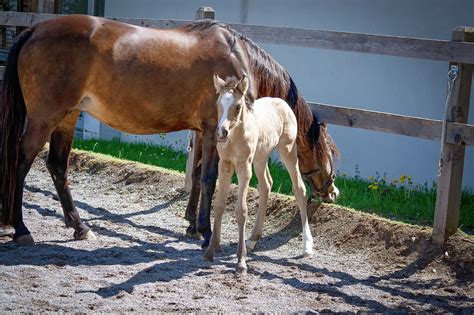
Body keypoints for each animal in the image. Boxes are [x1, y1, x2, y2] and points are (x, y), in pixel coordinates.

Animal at [1, 14, 338, 247]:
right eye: (331, 152)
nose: (333, 191)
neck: (238, 58)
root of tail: (34, 30)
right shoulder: (215, 131)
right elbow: (210, 178)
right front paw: (205, 231)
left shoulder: (204, 131)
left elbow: (200, 174)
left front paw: (191, 225)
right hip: (45, 118)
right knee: (21, 162)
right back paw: (21, 229)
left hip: (67, 118)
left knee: (57, 167)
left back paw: (80, 227)